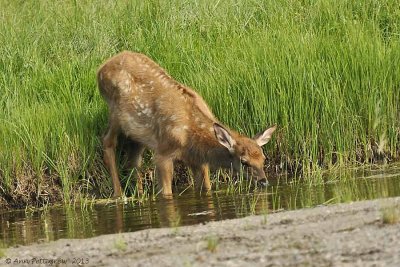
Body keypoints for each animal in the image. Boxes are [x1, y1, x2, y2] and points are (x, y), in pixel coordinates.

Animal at [98, 51, 276, 199]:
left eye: (263, 158)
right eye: (244, 162)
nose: (264, 181)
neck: (190, 134)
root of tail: (100, 69)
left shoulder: (198, 159)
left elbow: (206, 188)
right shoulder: (163, 152)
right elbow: (166, 192)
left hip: (137, 135)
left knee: (133, 161)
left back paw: (139, 194)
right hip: (115, 112)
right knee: (107, 141)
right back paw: (119, 194)